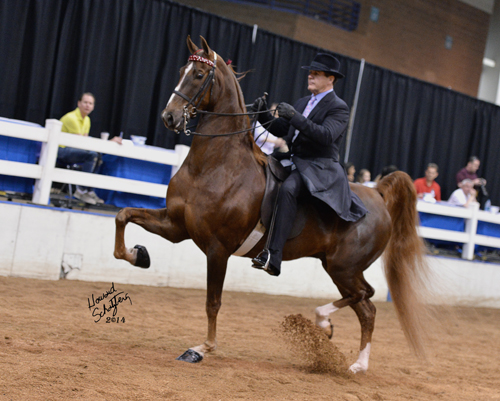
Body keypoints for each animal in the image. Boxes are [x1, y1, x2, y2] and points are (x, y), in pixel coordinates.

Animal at [113, 36, 430, 374]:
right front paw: (138, 255)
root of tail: (379, 194)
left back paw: (327, 328)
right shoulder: (176, 226)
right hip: (337, 268)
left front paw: (203, 347)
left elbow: (213, 302)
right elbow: (123, 215)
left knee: (365, 296)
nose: (169, 117)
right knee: (366, 307)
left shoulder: (217, 248)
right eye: (181, 71)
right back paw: (351, 357)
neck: (215, 166)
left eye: (198, 74)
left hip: (344, 267)